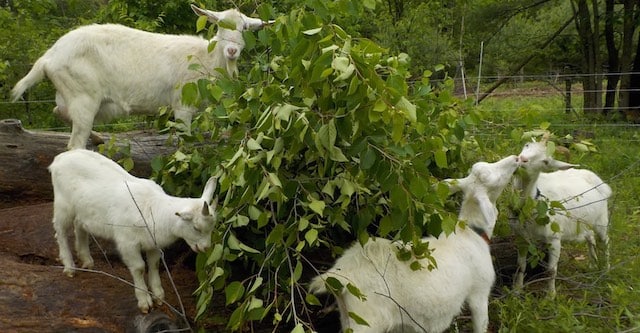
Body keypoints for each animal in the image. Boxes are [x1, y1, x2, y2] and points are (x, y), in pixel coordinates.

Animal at [11, 4, 272, 148]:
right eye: (218, 25)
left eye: (244, 29)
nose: (232, 50)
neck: (206, 58)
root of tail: (47, 59)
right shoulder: (182, 104)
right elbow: (186, 141)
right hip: (83, 95)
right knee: (74, 144)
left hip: (69, 92)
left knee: (59, 111)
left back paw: (98, 138)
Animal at [48, 149, 219, 312]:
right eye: (196, 227)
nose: (205, 248)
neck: (153, 208)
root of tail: (60, 158)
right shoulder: (127, 243)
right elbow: (139, 267)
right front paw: (144, 302)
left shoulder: (153, 243)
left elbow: (154, 264)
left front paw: (159, 296)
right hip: (63, 204)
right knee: (60, 231)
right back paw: (69, 267)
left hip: (82, 210)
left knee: (79, 226)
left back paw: (87, 261)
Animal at [310, 155, 520, 332]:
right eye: (491, 178)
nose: (516, 158)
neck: (470, 233)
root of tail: (341, 274)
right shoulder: (479, 292)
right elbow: (480, 325)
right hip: (367, 319)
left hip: (348, 316)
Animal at [512, 135, 612, 296]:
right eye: (527, 145)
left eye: (545, 161)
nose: (522, 159)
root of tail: (595, 179)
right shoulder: (521, 236)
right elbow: (520, 265)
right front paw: (517, 290)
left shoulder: (554, 238)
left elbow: (551, 270)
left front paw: (550, 296)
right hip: (583, 221)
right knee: (590, 237)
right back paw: (592, 265)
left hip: (601, 220)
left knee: (605, 241)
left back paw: (606, 270)